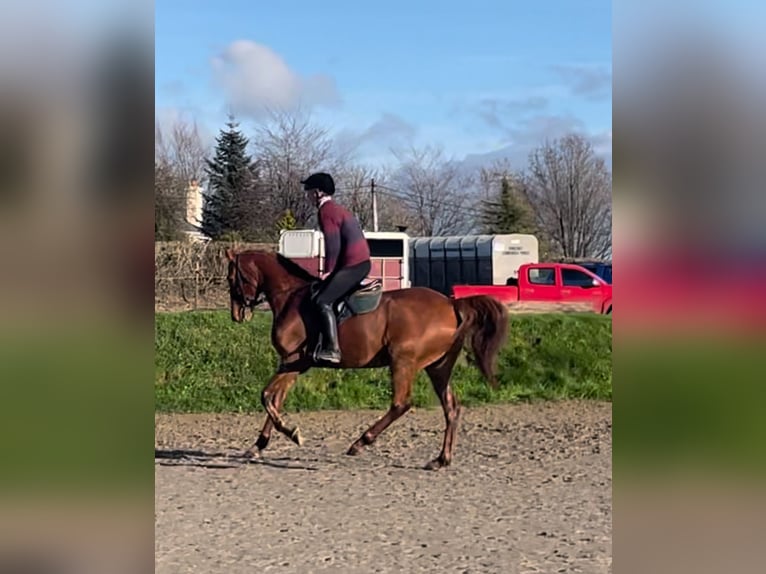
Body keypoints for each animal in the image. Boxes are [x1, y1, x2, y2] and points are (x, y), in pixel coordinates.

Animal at [225, 248, 509, 470]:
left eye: (230, 278)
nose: (237, 315)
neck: (291, 297)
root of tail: (452, 304)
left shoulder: (295, 360)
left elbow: (266, 396)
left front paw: (292, 434)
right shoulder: (291, 363)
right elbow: (275, 400)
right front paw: (258, 445)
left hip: (402, 361)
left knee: (401, 403)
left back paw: (360, 442)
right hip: (438, 367)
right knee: (451, 407)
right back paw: (441, 459)